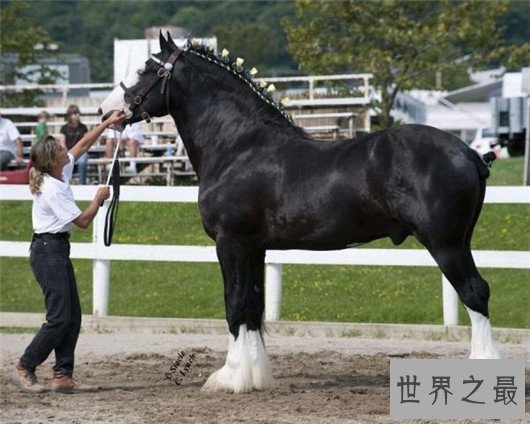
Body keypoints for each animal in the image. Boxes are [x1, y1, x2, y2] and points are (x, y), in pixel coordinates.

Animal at [100, 34, 500, 394]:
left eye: (146, 69)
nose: (107, 112)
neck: (239, 146)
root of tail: (469, 153)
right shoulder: (254, 248)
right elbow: (253, 307)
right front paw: (255, 377)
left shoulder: (231, 243)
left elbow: (234, 306)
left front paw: (229, 379)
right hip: (459, 241)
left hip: (446, 244)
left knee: (475, 293)